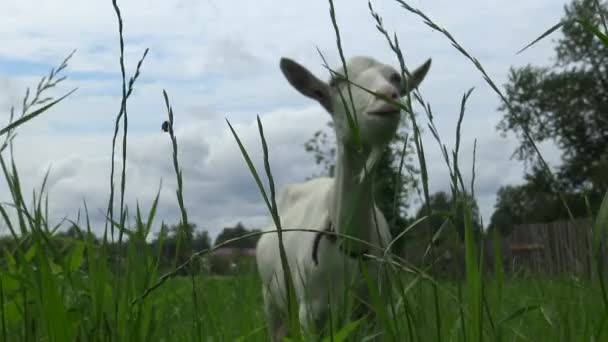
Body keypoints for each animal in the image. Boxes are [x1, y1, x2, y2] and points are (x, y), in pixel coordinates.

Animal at [254, 55, 430, 340]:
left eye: (395, 78)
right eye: (335, 81)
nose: (386, 96)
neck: (351, 245)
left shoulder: (378, 309)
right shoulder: (310, 313)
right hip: (272, 299)